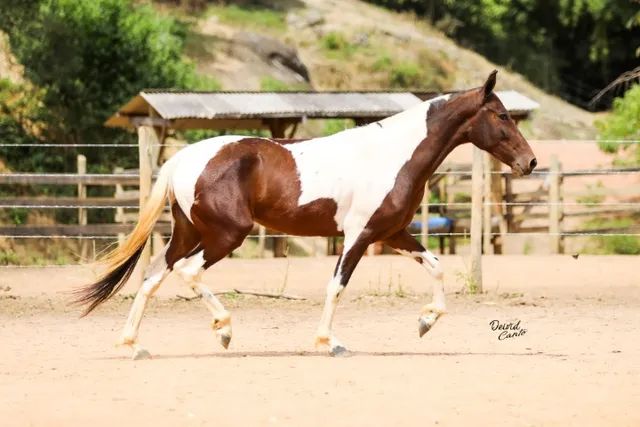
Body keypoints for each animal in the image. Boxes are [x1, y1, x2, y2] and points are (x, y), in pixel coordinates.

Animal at [74, 72, 536, 360]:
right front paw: (329, 343)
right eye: (501, 115)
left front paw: (425, 322)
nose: (530, 162)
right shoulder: (359, 235)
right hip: (227, 235)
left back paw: (133, 345)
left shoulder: (391, 233)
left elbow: (437, 266)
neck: (393, 155)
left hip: (189, 234)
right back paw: (224, 330)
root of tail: (184, 158)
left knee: (153, 276)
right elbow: (336, 287)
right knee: (188, 272)